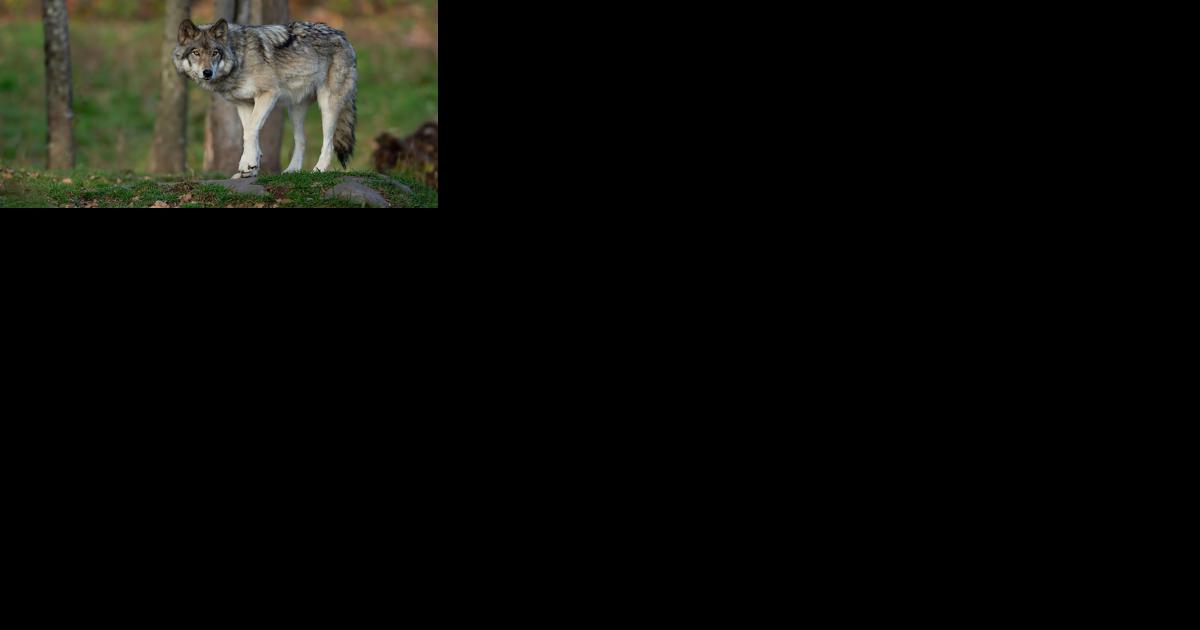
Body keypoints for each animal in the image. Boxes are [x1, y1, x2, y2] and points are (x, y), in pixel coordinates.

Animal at [175, 18, 357, 178]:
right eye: (196, 53)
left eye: (214, 53)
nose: (207, 72)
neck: (240, 58)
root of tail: (343, 36)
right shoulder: (244, 104)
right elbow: (249, 132)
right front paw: (251, 168)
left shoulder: (268, 94)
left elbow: (250, 131)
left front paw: (246, 164)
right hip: (295, 110)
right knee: (301, 140)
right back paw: (292, 171)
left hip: (327, 105)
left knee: (329, 143)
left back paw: (318, 170)